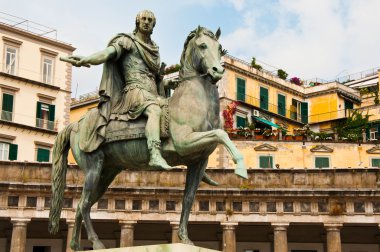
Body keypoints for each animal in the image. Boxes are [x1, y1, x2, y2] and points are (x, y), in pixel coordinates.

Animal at [48, 26, 246, 250]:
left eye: (220, 49)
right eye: (203, 45)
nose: (217, 71)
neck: (193, 100)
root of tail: (76, 125)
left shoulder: (198, 161)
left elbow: (188, 199)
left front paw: (185, 237)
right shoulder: (185, 142)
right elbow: (221, 134)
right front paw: (241, 167)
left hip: (107, 172)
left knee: (84, 206)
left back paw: (76, 244)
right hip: (93, 168)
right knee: (83, 204)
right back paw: (96, 243)